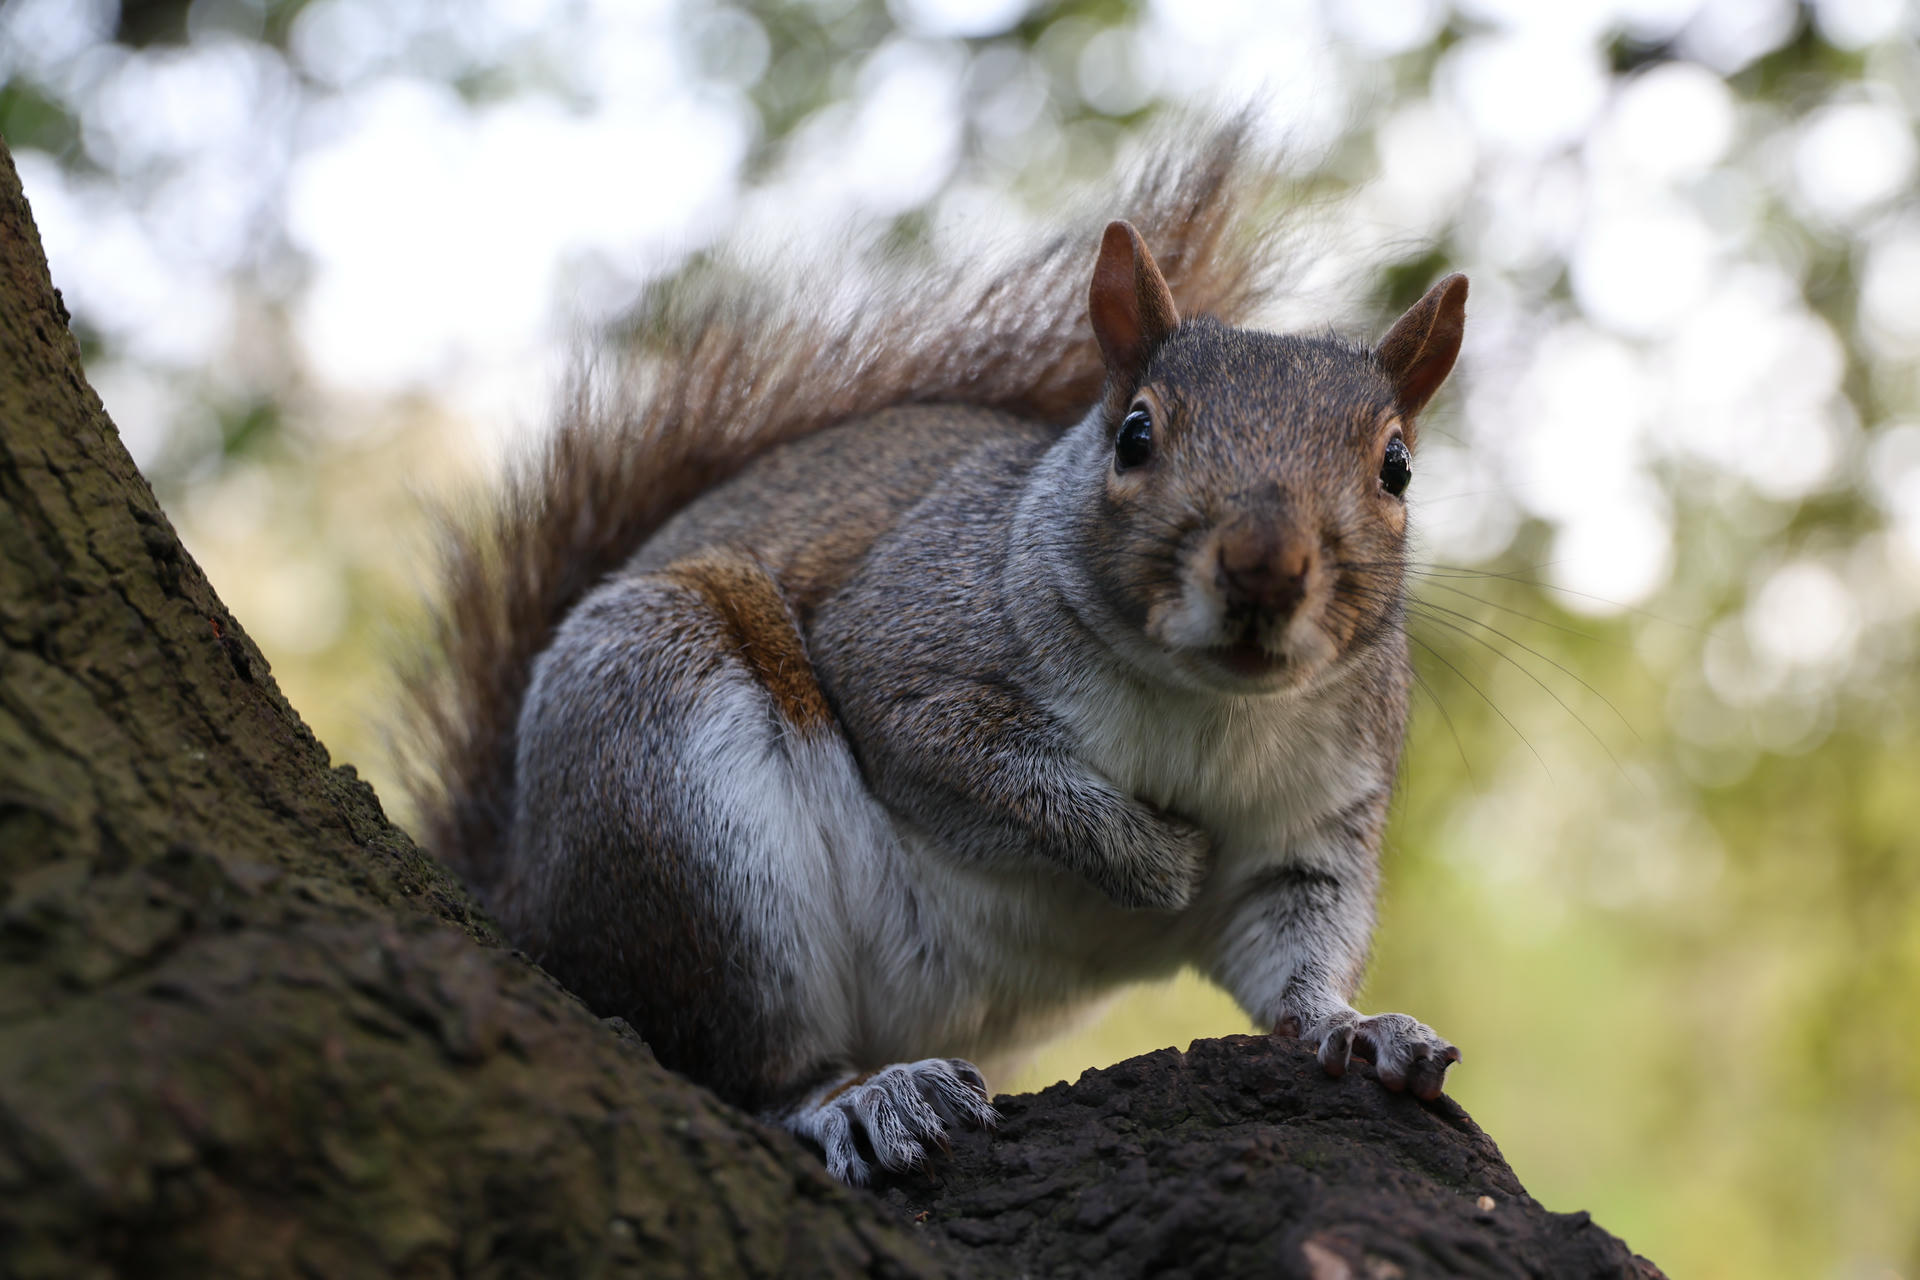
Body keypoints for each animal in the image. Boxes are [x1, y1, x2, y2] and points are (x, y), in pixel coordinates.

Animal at [402, 124, 1466, 1186]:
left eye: (1397, 468)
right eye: (1135, 434)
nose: (1264, 568)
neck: (1207, 705)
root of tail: (521, 889)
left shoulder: (1315, 827)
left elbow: (1295, 953)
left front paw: (1357, 1029)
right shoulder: (905, 658)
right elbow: (985, 772)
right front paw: (1158, 861)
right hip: (672, 783)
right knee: (744, 1057)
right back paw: (856, 1097)